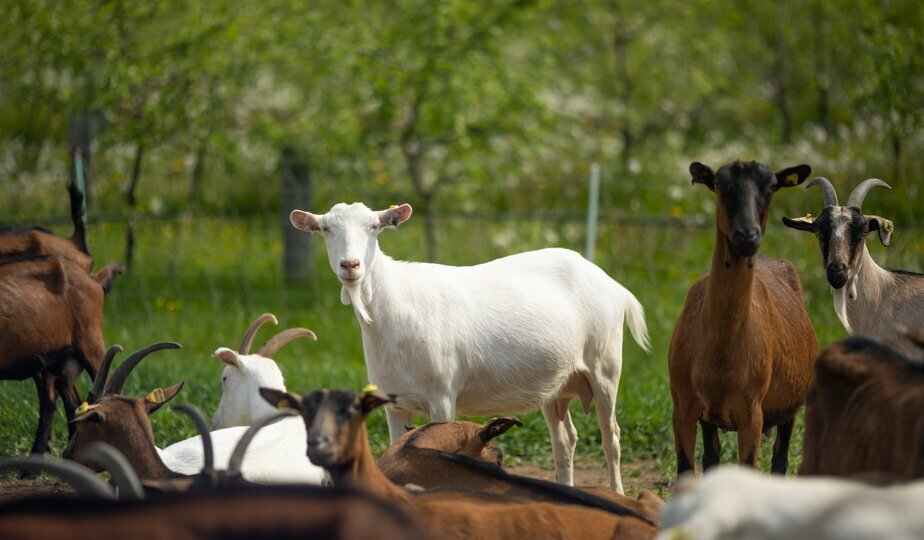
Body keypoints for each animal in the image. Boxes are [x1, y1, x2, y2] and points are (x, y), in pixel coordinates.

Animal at [288, 200, 648, 492]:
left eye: (374, 227)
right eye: (325, 229)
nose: (350, 265)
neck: (395, 307)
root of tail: (613, 285)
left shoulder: (442, 394)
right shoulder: (394, 401)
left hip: (605, 364)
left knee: (611, 437)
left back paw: (617, 492)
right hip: (556, 383)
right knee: (565, 440)